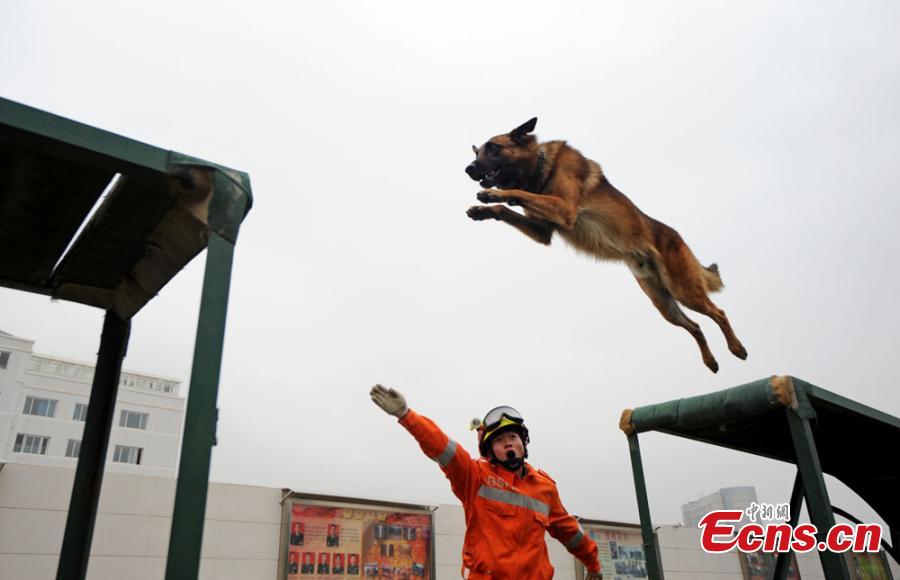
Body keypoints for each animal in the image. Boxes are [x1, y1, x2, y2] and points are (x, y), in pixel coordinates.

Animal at [464, 118, 744, 372]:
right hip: (663, 303)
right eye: (478, 152)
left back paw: (737, 347)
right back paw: (710, 361)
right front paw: (483, 210)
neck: (538, 166)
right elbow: (506, 209)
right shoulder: (542, 231)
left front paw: (494, 195)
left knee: (718, 312)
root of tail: (677, 237)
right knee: (695, 326)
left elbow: (520, 194)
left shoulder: (563, 208)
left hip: (683, 288)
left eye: (494, 148)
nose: (468, 168)